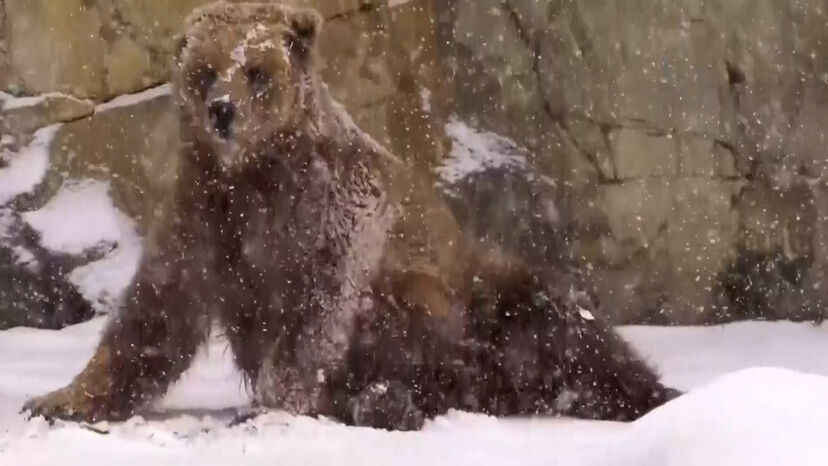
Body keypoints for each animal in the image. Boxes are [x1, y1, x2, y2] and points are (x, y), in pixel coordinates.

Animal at [23, 1, 678, 430]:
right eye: (205, 69)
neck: (258, 176)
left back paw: (649, 394)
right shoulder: (205, 216)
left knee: (562, 330)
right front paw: (58, 398)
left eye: (257, 70)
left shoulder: (335, 215)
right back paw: (386, 402)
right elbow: (156, 314)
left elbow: (316, 313)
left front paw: (271, 403)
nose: (222, 111)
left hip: (476, 298)